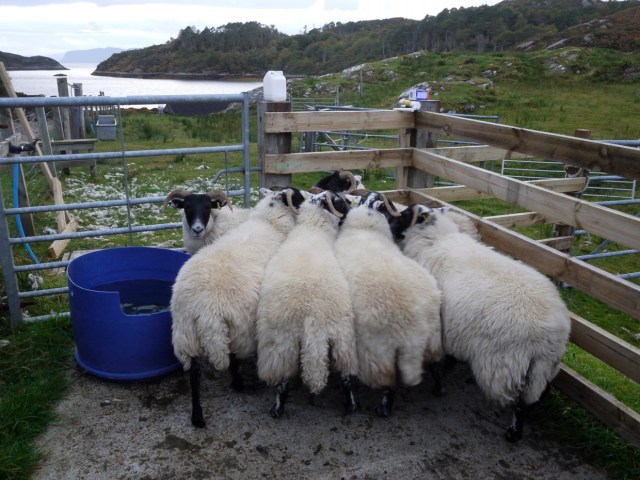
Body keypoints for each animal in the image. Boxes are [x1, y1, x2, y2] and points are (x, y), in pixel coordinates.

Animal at [170, 186, 306, 428]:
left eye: (207, 207)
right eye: (187, 207)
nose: (197, 229)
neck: (269, 221)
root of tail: (205, 309)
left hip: (184, 331)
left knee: (194, 372)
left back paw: (197, 417)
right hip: (237, 324)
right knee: (232, 356)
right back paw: (238, 384)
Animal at [256, 190, 358, 418]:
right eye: (339, 201)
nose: (352, 212)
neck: (312, 229)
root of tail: (313, 319)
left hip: (282, 345)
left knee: (283, 383)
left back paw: (277, 410)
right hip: (342, 340)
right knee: (346, 377)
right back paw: (350, 406)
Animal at [334, 203, 444, 416]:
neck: (365, 231)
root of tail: (413, 329)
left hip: (377, 351)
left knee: (388, 381)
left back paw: (383, 409)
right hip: (434, 336)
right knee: (436, 364)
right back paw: (438, 389)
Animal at [388, 205, 571, 441]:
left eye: (403, 215)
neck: (435, 239)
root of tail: (553, 334)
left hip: (504, 365)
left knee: (518, 401)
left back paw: (513, 434)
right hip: (545, 365)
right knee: (537, 394)